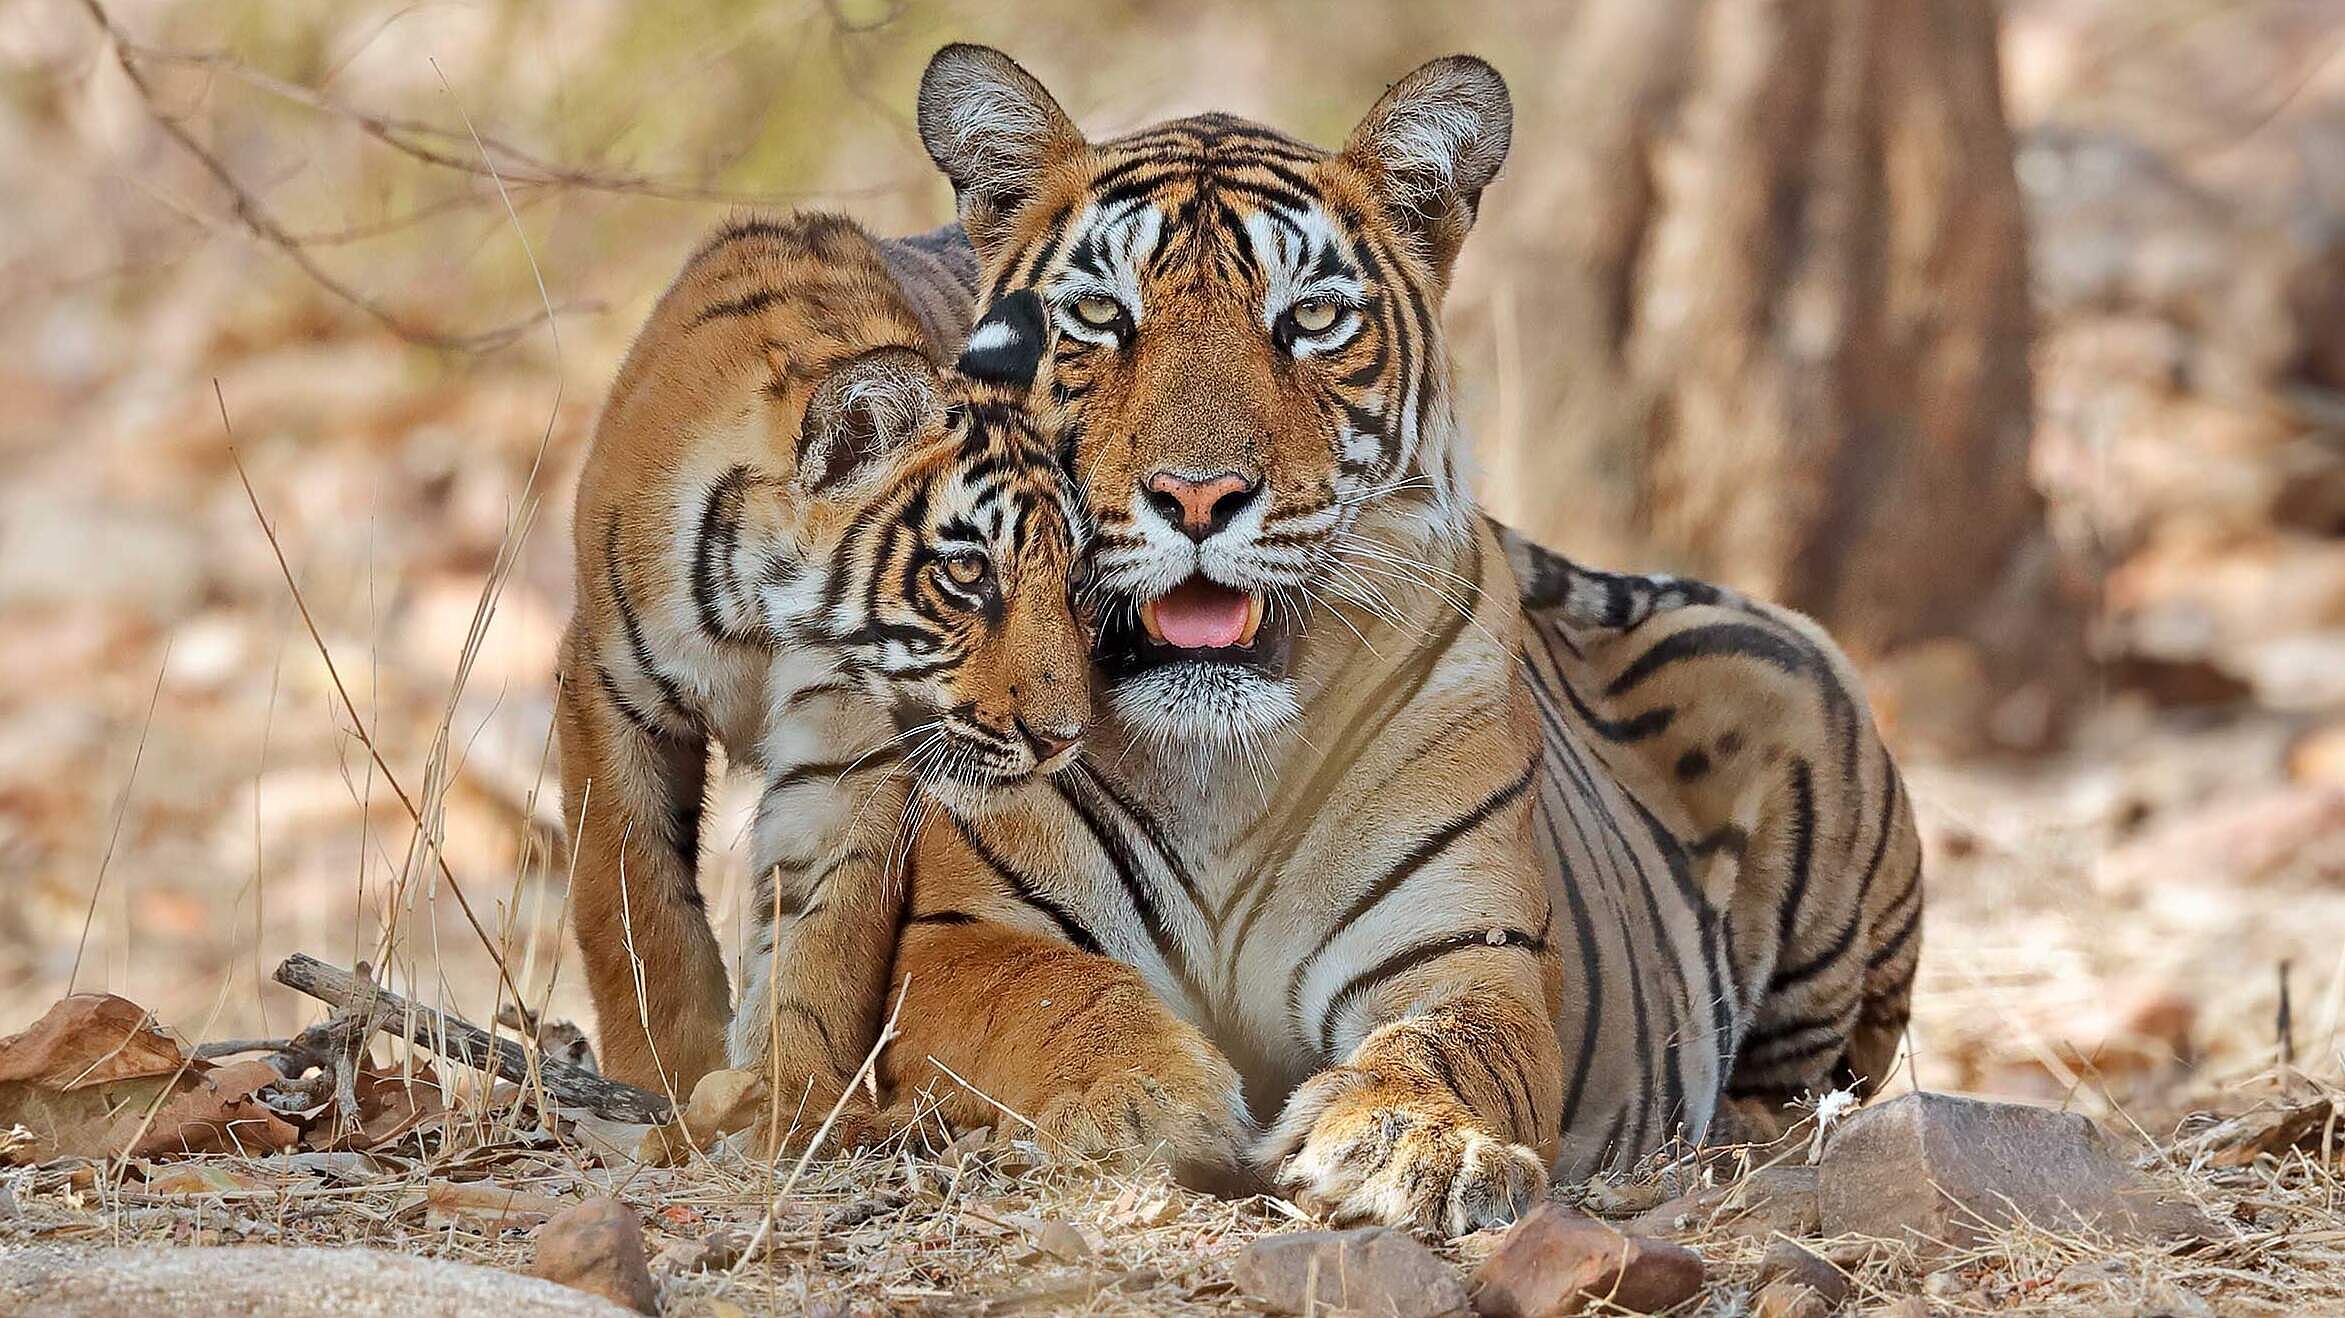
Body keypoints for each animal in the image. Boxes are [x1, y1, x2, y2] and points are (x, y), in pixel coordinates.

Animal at [555, 210, 1111, 1126]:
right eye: (968, 572)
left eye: (1074, 582)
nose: (1061, 738)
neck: (762, 619)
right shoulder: (608, 690)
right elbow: (632, 902)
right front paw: (661, 1077)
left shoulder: (851, 750)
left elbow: (825, 936)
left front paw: (793, 1102)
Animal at [824, 45, 1925, 1236]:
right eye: (1097, 313)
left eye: (1309, 319)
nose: (1197, 495)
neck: (1218, 768)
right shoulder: (964, 937)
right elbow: (1053, 1000)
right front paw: (1139, 1101)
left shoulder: (1464, 950)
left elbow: (1448, 1045)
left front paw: (1407, 1142)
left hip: (1798, 690)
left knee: (1807, 1088)